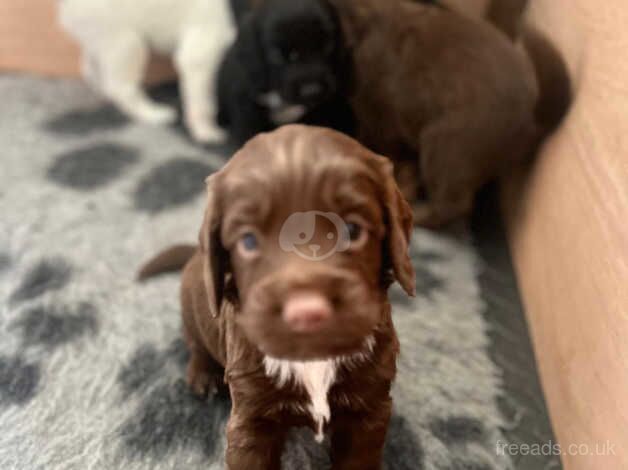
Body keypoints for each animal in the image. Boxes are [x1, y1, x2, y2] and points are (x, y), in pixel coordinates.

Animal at [59, 0, 236, 141]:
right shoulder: (204, 47)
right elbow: (204, 101)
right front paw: (206, 131)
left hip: (100, 39)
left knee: (89, 68)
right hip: (126, 41)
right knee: (121, 88)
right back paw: (152, 114)